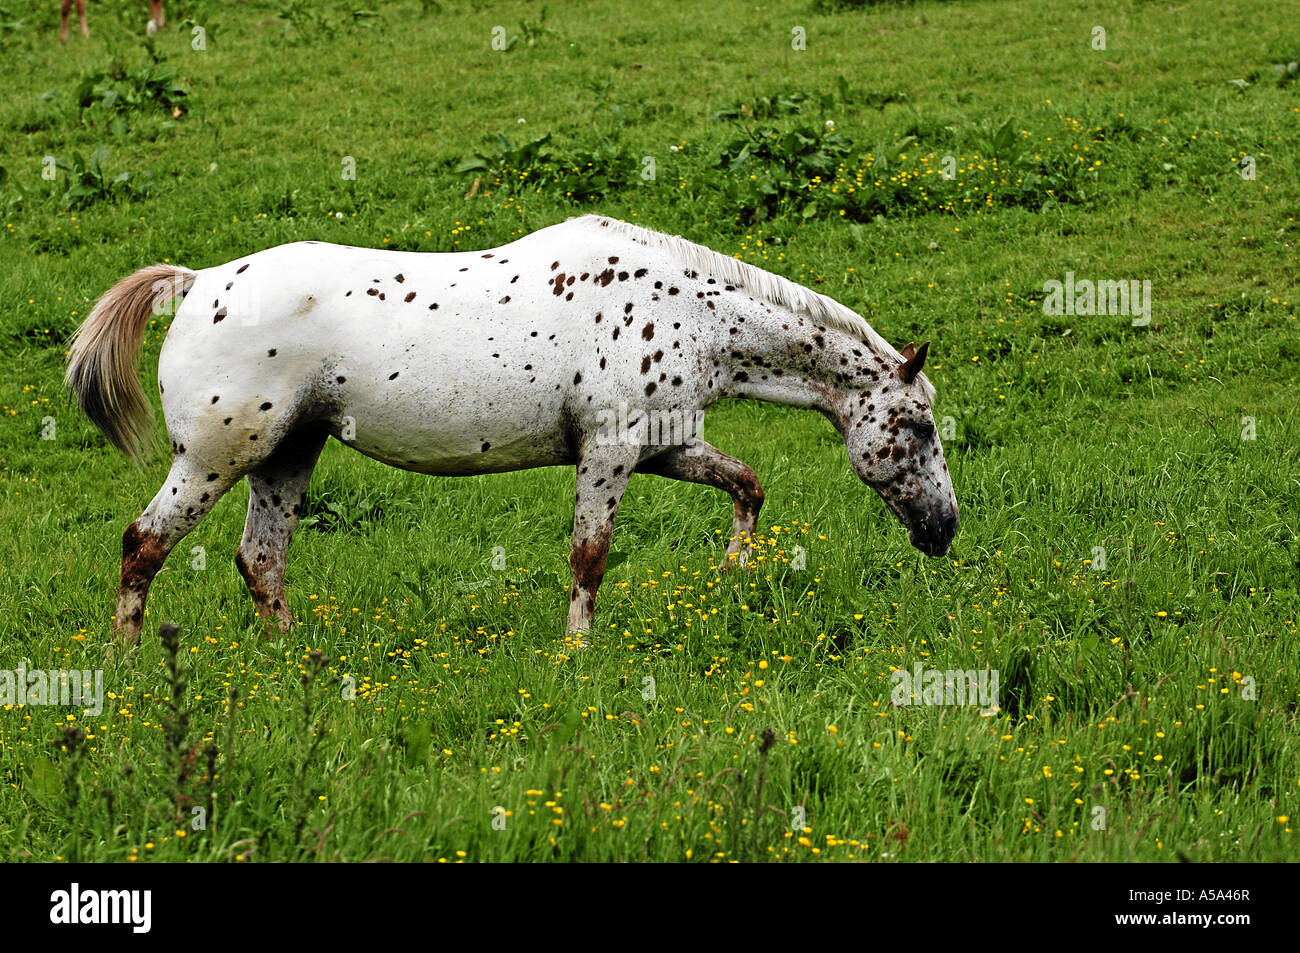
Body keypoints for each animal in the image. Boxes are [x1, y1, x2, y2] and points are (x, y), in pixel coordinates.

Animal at [66, 215, 959, 647]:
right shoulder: (609, 453)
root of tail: (198, 284)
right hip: (212, 461)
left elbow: (747, 484)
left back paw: (294, 661)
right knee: (143, 544)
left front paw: (734, 569)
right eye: (917, 426)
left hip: (288, 454)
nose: (945, 528)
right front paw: (577, 655)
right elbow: (589, 557)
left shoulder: (664, 446)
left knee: (261, 561)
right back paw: (128, 664)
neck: (685, 309)